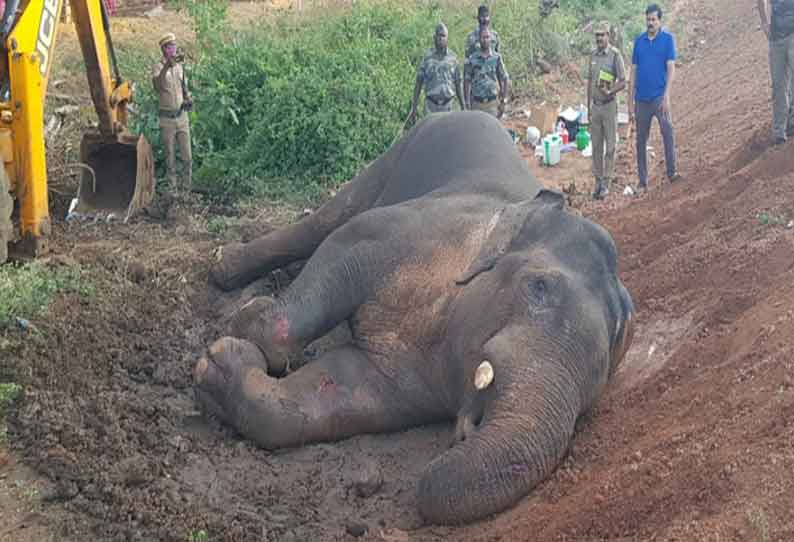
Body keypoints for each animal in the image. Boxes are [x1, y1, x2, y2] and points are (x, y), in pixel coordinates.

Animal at [195, 111, 636, 528]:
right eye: (539, 287)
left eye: (598, 375)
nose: (460, 437)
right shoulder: (413, 230)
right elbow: (347, 243)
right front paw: (243, 324)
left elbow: (339, 388)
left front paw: (218, 366)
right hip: (402, 148)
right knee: (327, 220)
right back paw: (225, 268)